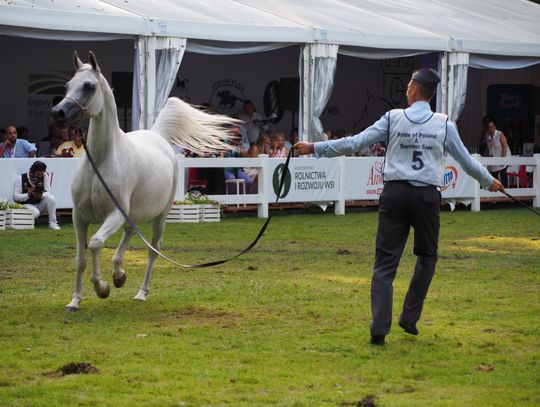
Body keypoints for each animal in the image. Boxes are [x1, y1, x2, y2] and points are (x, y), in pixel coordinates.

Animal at [51, 51, 236, 312]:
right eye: (68, 85)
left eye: (89, 86)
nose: (58, 113)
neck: (102, 161)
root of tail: (157, 135)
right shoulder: (80, 217)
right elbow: (81, 258)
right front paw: (75, 300)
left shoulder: (114, 215)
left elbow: (96, 243)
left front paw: (102, 288)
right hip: (131, 214)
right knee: (129, 235)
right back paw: (119, 274)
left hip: (160, 217)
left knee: (153, 250)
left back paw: (140, 292)